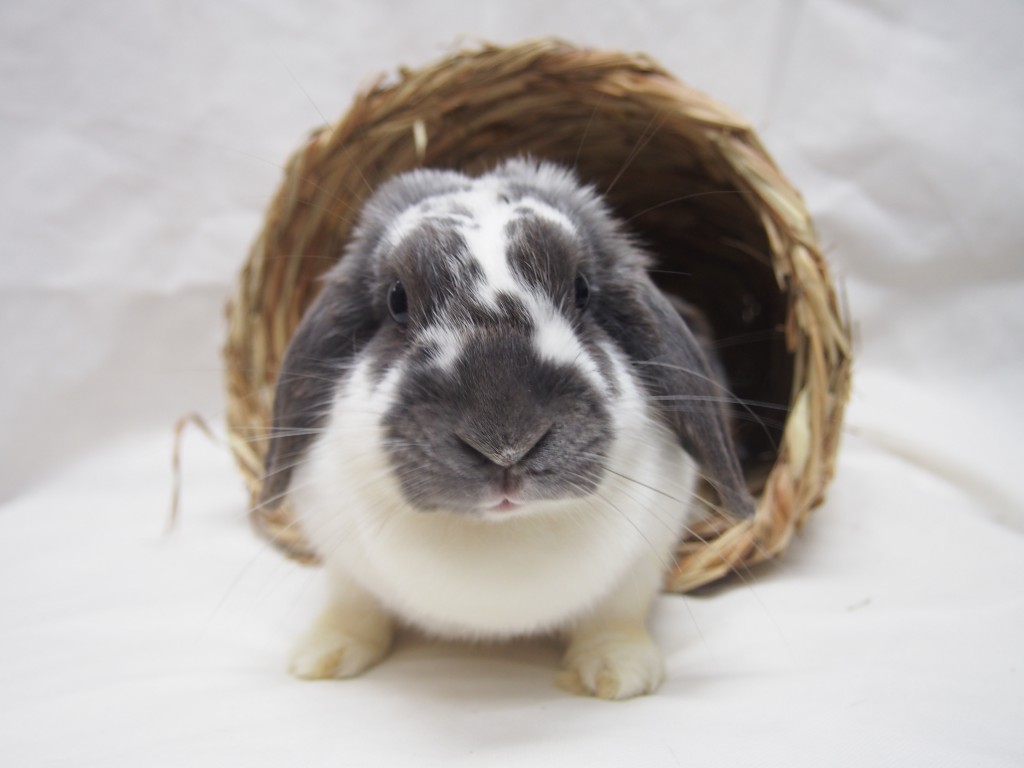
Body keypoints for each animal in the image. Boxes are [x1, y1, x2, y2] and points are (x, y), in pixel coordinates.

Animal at [258, 158, 755, 700]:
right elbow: (353, 605)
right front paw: (320, 657)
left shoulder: (644, 558)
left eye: (582, 290)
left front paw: (618, 674)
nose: (505, 444)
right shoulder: (341, 556)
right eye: (396, 299)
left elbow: (616, 615)